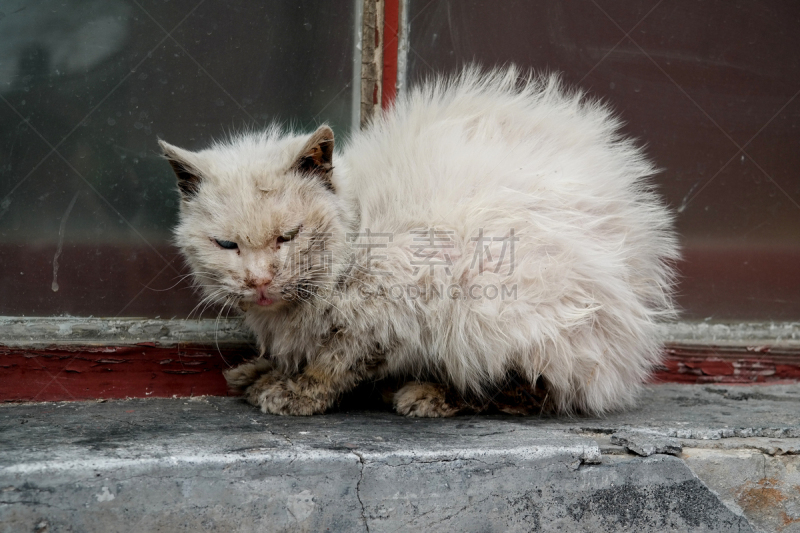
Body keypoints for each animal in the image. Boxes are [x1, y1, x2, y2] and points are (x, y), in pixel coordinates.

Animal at [159, 67, 680, 416]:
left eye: (289, 236)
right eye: (226, 245)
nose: (259, 281)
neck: (358, 227)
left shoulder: (392, 304)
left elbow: (337, 360)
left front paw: (297, 391)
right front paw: (263, 370)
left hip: (493, 302)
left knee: (533, 388)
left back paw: (426, 394)